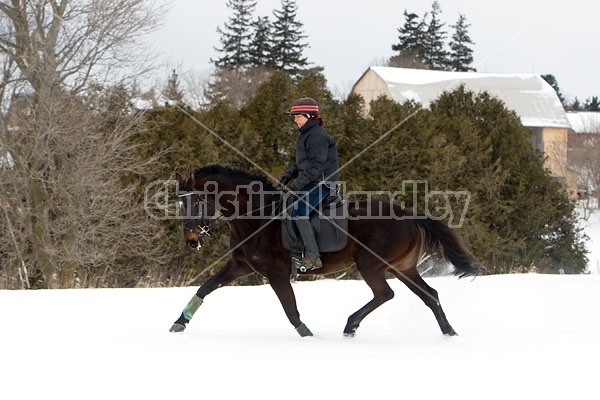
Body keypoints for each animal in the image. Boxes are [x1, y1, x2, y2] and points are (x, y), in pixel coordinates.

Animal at [169, 164, 482, 336]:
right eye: (180, 203)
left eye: (195, 201)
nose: (191, 239)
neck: (255, 217)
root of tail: (408, 214)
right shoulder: (241, 265)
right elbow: (205, 288)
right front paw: (179, 323)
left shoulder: (276, 274)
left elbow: (290, 309)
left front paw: (308, 336)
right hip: (402, 267)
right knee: (430, 295)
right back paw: (449, 333)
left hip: (371, 265)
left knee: (385, 294)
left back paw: (350, 325)